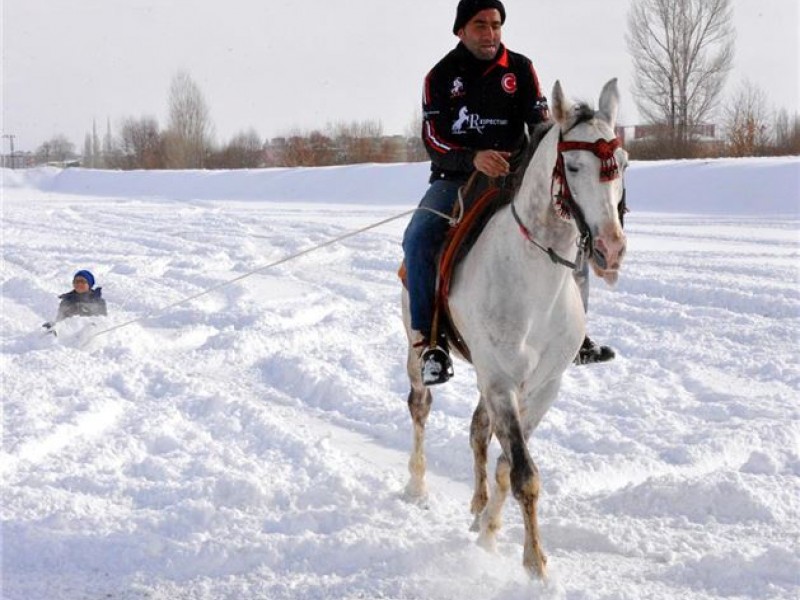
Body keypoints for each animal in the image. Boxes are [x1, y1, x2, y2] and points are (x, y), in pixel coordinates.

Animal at [404, 78, 628, 576]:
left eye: (622, 163)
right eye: (573, 165)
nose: (611, 249)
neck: (534, 282)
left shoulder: (541, 386)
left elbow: (508, 462)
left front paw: (488, 531)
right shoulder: (503, 381)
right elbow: (524, 472)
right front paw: (536, 565)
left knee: (477, 430)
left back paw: (475, 505)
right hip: (419, 347)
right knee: (420, 406)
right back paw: (417, 486)